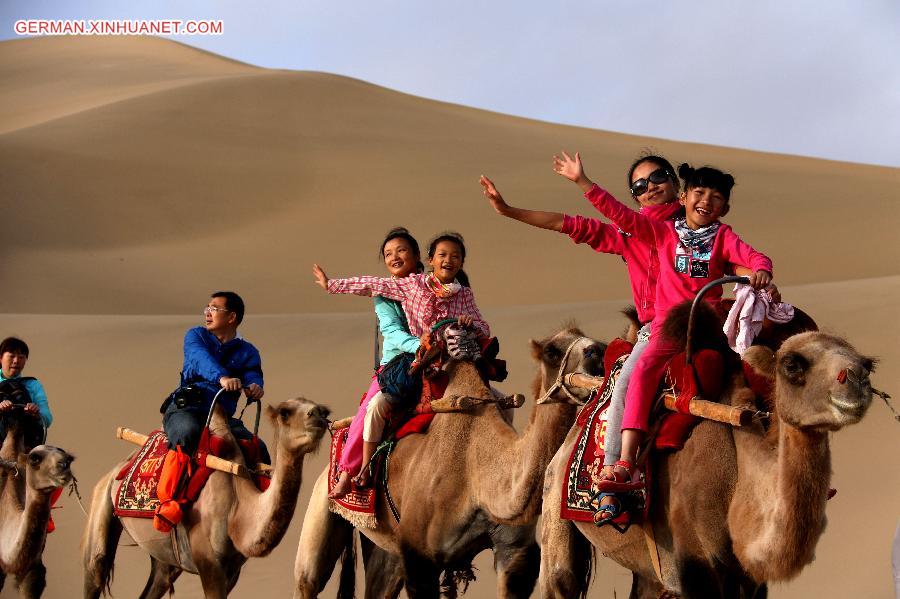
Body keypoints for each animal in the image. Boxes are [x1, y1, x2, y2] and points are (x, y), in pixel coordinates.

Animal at [81, 398, 330, 599]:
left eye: (324, 410)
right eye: (285, 412)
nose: (318, 414)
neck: (238, 509)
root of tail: (116, 470)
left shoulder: (232, 571)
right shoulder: (209, 563)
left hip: (163, 558)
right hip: (101, 502)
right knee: (95, 566)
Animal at [294, 328, 604, 599]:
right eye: (552, 351)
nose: (598, 351)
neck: (478, 476)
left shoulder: (516, 552)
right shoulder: (419, 556)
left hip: (386, 547)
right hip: (324, 504)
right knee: (308, 579)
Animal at [540, 330, 880, 596]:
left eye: (868, 365)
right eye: (792, 364)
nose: (856, 378)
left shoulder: (747, 578)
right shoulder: (693, 563)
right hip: (554, 507)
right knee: (560, 578)